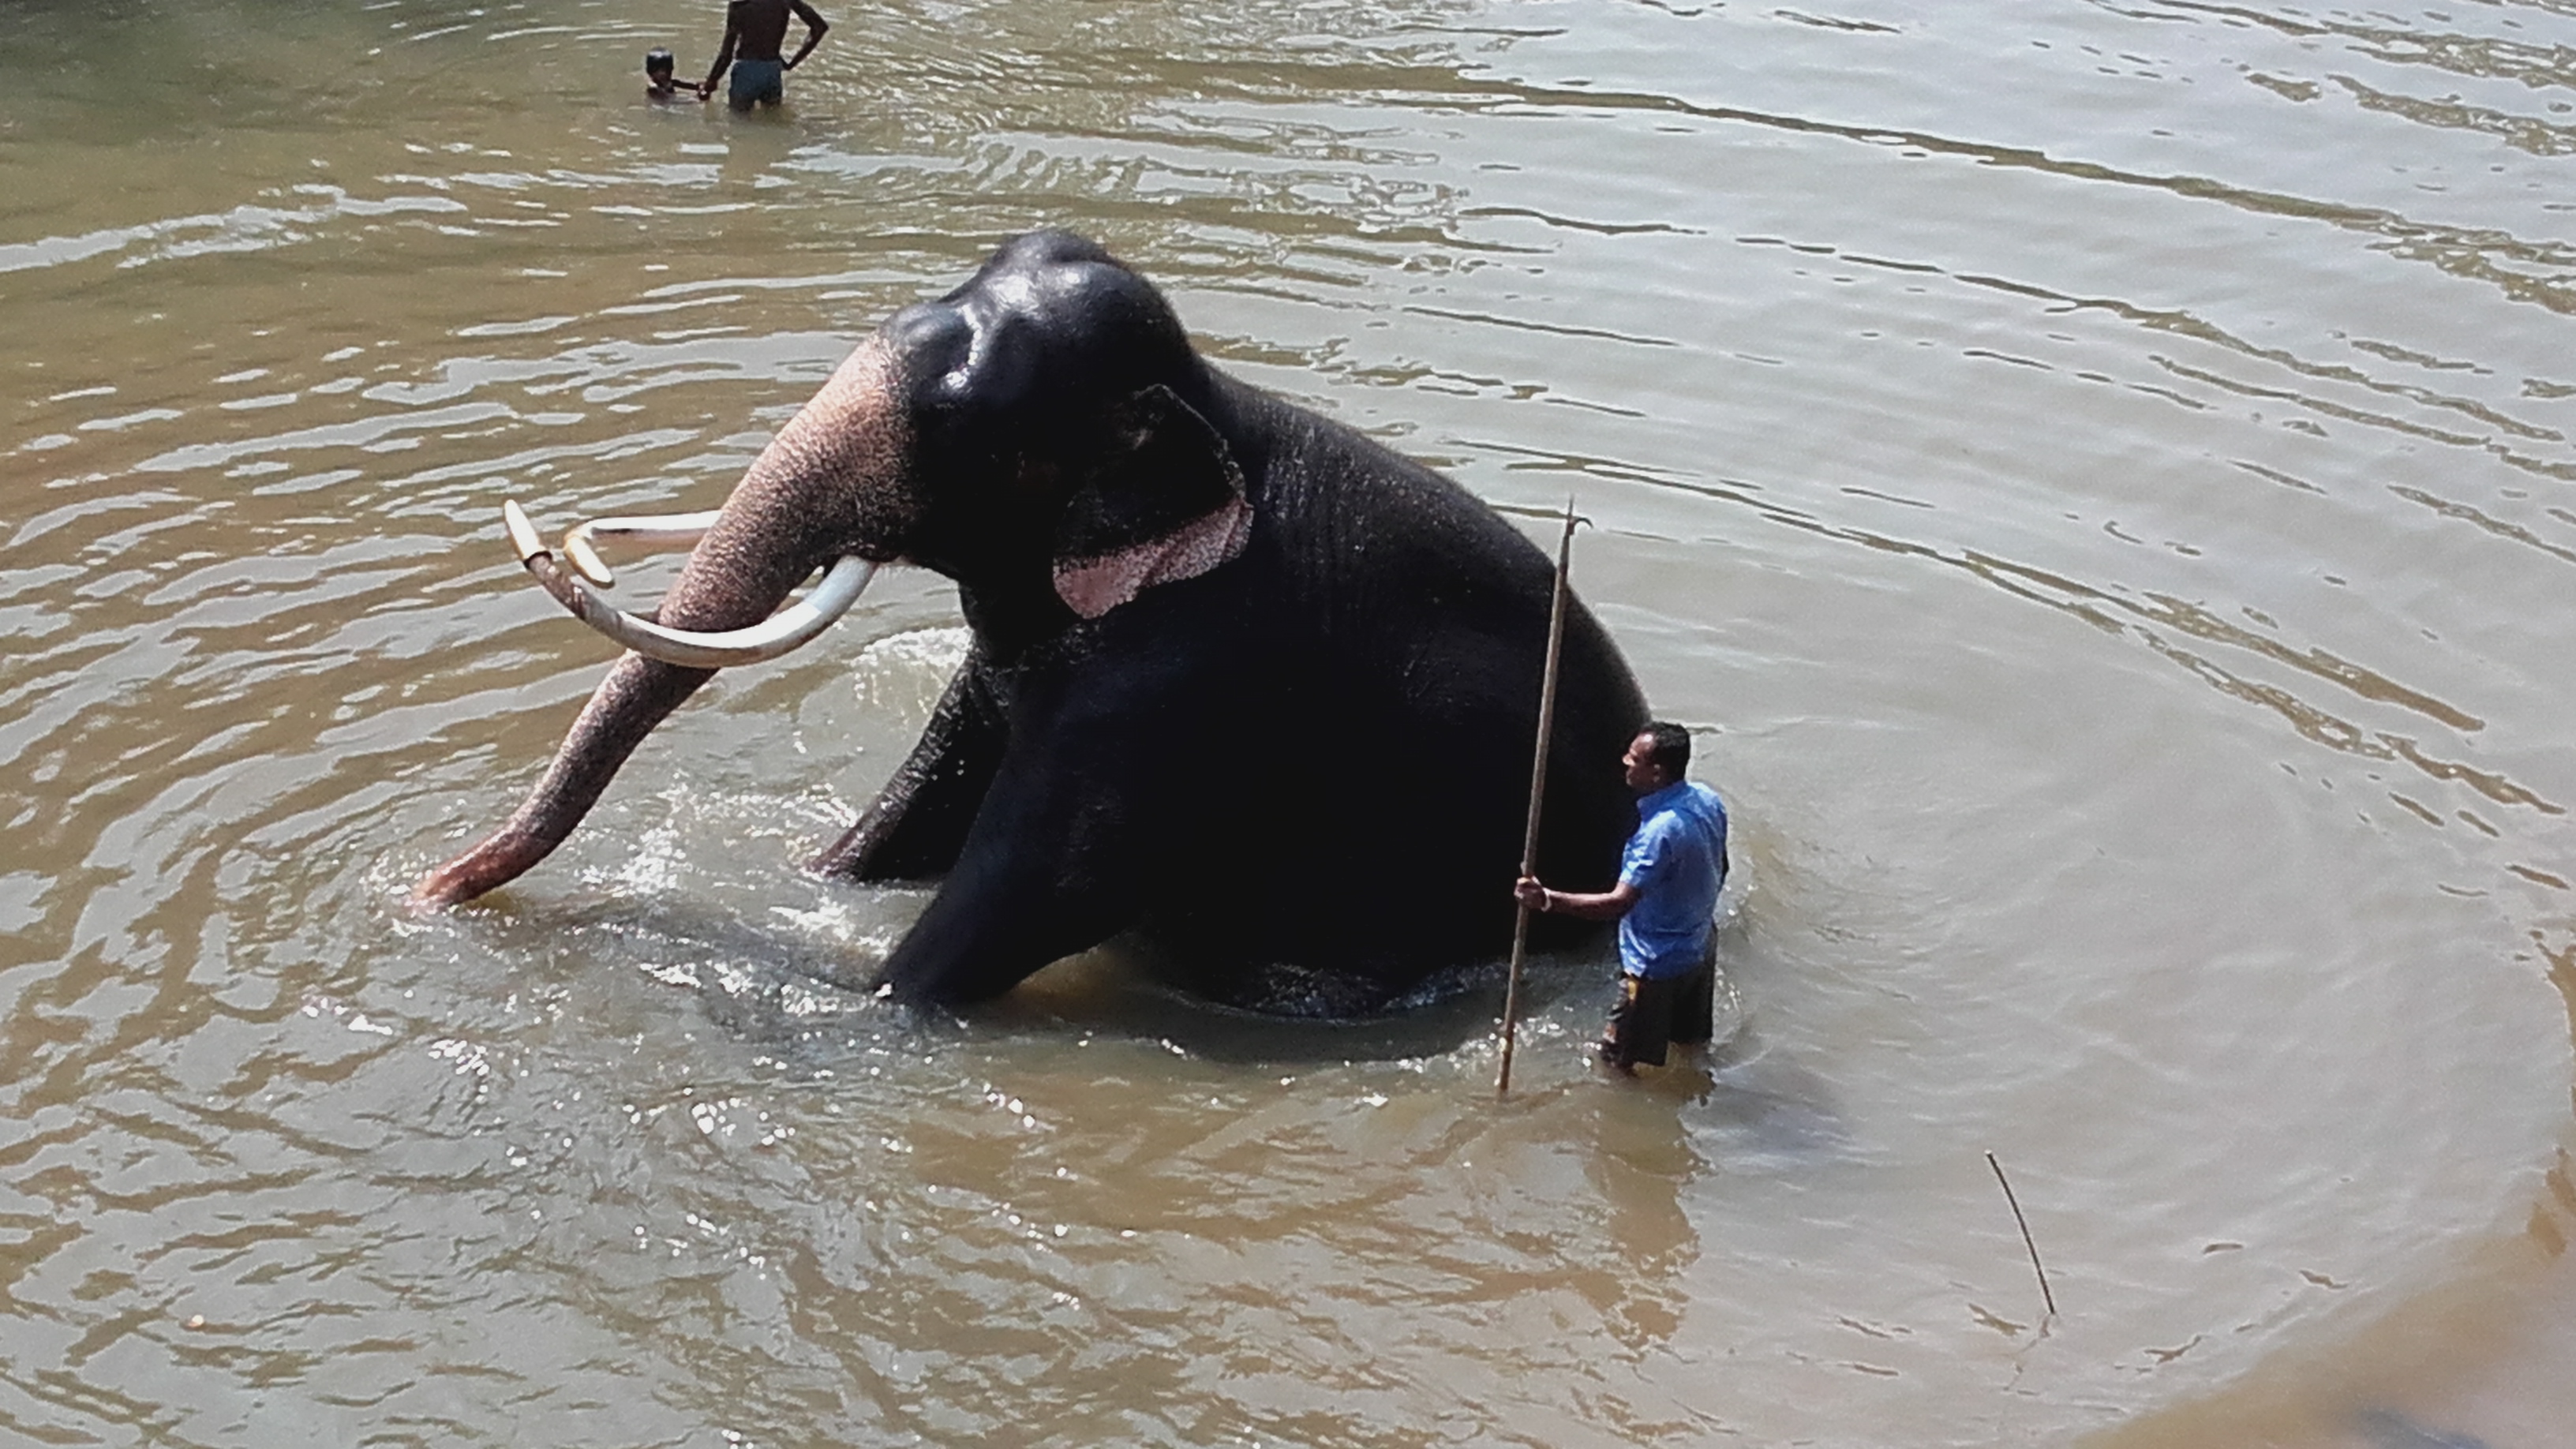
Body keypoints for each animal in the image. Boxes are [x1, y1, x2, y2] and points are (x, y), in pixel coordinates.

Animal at [414, 230, 1650, 1014]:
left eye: (958, 428)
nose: (435, 888)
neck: (1215, 408)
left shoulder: (1187, 683)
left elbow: (1044, 885)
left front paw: (866, 1002)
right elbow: (920, 804)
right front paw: (813, 880)